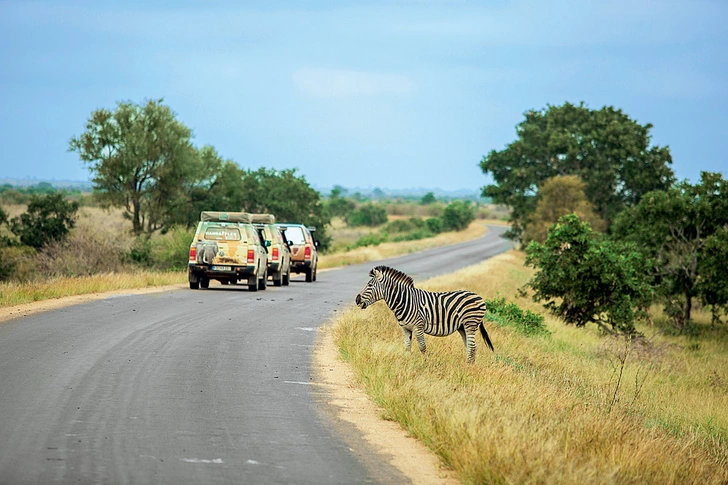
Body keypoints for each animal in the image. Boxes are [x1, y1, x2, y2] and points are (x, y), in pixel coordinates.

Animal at [354, 264, 494, 364]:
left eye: (370, 285)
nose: (357, 300)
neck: (405, 300)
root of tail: (478, 296)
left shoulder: (418, 326)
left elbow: (422, 347)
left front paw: (426, 364)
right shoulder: (405, 328)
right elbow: (407, 347)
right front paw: (407, 364)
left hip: (470, 323)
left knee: (472, 346)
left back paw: (469, 368)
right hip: (462, 327)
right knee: (469, 346)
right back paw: (468, 366)